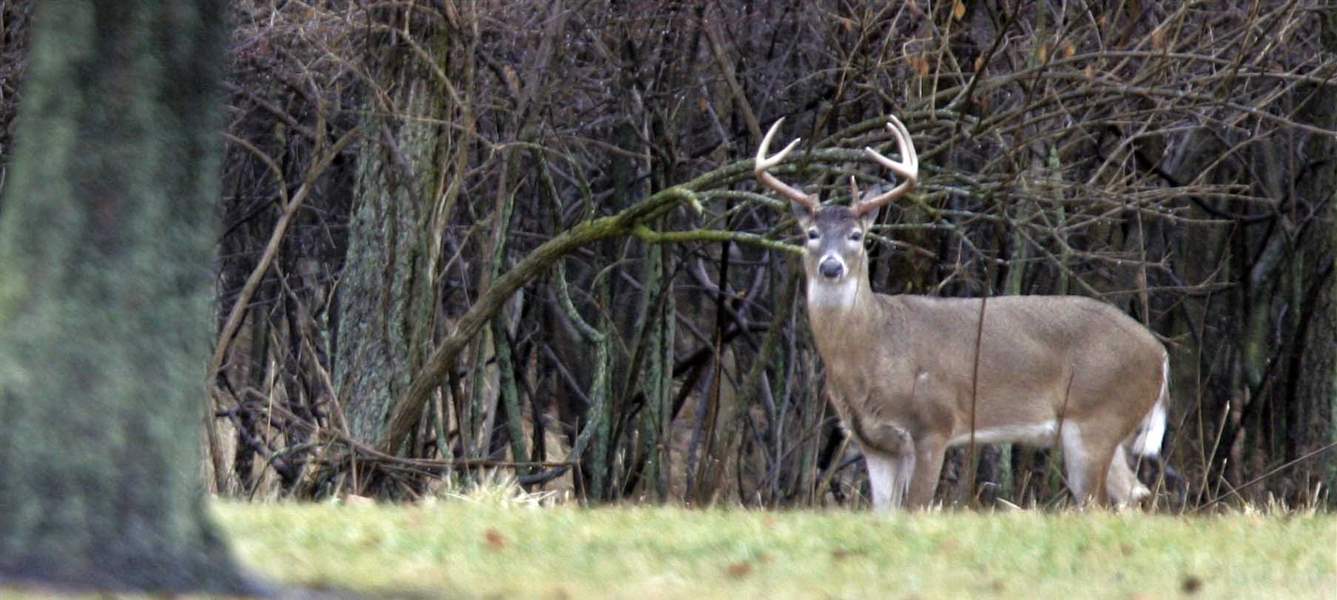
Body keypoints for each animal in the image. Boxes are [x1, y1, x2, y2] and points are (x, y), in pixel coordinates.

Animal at [759, 114, 1165, 507]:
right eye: (811, 234)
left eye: (856, 236)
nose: (831, 267)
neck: (876, 348)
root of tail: (1159, 353)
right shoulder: (872, 442)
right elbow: (884, 511)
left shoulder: (934, 423)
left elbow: (917, 506)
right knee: (1133, 495)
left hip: (1097, 417)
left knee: (1098, 502)